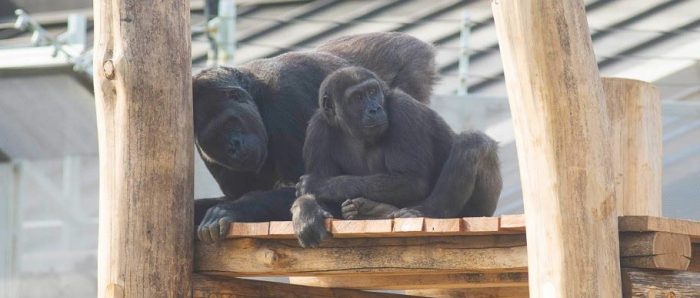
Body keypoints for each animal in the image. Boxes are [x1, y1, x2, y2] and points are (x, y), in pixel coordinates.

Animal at [196, 32, 438, 242]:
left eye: (230, 123)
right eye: (215, 137)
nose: (233, 147)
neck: (256, 94)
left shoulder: (286, 99)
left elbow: (303, 184)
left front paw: (231, 209)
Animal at [292, 67, 504, 247]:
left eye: (372, 92)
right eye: (357, 97)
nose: (375, 109)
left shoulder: (403, 109)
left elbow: (411, 180)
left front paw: (319, 185)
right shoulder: (317, 129)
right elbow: (326, 205)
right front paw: (306, 210)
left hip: (480, 213)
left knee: (474, 143)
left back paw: (427, 211)